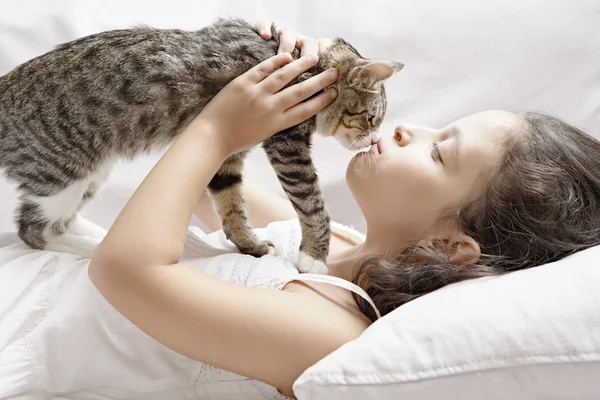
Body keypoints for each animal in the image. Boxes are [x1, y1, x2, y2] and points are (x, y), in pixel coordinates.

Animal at [1, 18, 404, 276]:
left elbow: (231, 201)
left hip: (91, 173)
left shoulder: (226, 149)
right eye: (371, 119)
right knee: (33, 230)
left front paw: (249, 244)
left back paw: (96, 234)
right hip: (64, 173)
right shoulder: (287, 141)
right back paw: (93, 248)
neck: (312, 66)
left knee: (57, 223)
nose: (375, 141)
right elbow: (313, 203)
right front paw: (315, 257)